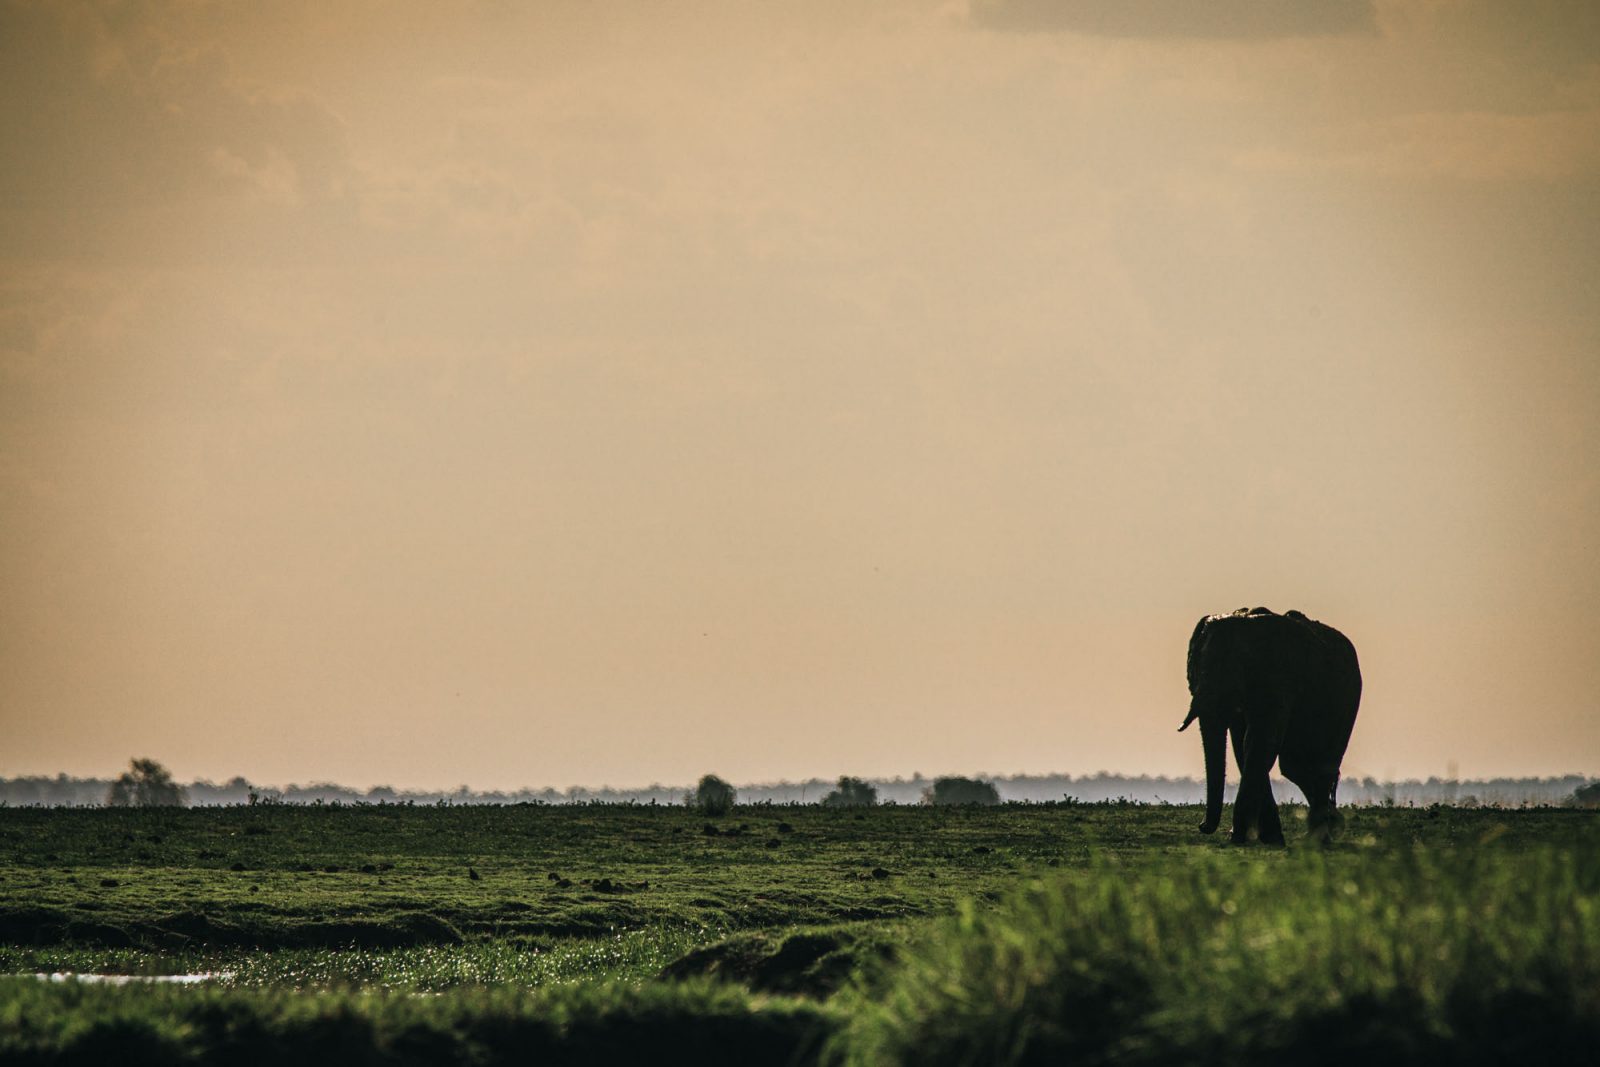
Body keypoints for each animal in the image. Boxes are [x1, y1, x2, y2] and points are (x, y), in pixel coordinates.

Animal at [1184, 607, 1356, 844]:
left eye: (1232, 669)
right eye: (1194, 670)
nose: (1202, 826)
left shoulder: (1277, 678)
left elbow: (1259, 741)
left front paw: (1237, 836)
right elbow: (1243, 745)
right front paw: (1270, 837)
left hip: (1346, 704)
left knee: (1320, 765)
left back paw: (1319, 837)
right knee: (1295, 766)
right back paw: (1326, 826)